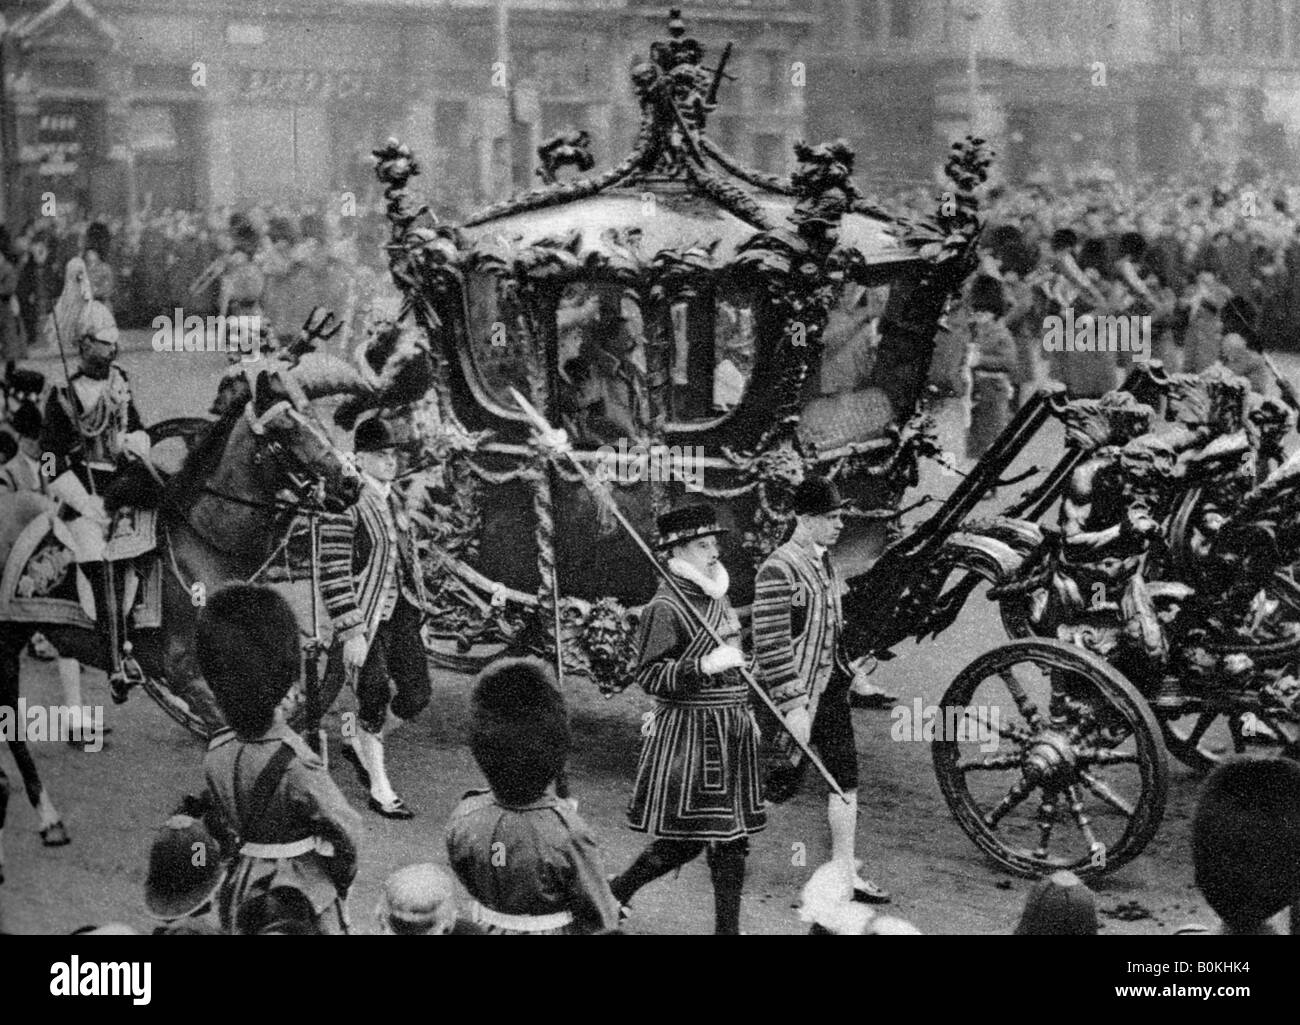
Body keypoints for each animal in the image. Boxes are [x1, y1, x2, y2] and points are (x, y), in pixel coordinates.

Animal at [0, 356, 369, 868]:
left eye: (315, 414)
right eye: (287, 428)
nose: (351, 483)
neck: (206, 544)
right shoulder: (190, 677)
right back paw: (48, 817)